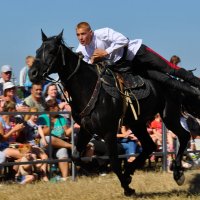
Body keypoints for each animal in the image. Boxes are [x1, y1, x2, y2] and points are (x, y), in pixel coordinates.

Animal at [28, 30, 198, 195]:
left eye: (51, 51)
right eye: (37, 51)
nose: (32, 73)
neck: (89, 87)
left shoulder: (109, 132)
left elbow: (115, 163)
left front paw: (127, 188)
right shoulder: (86, 129)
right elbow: (76, 156)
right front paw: (98, 169)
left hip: (169, 114)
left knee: (183, 135)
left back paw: (177, 172)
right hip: (137, 123)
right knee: (150, 145)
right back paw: (131, 171)